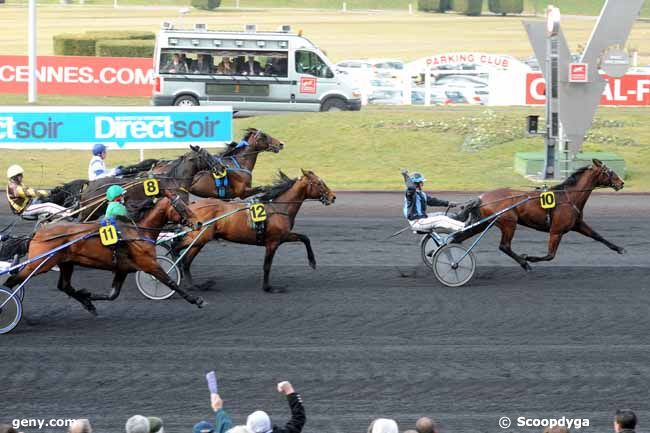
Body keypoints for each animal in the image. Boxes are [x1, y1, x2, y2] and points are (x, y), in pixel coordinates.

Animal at [3, 193, 204, 314]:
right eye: (182, 207)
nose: (199, 223)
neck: (138, 232)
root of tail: (38, 233)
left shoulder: (122, 269)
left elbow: (112, 294)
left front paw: (88, 297)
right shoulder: (149, 264)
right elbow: (170, 281)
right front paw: (196, 300)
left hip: (66, 263)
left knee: (64, 286)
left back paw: (86, 302)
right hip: (40, 264)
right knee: (13, 280)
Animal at [172, 169, 334, 290]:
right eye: (319, 183)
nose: (333, 197)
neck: (278, 208)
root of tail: (191, 207)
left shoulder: (283, 237)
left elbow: (305, 237)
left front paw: (312, 262)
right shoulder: (272, 242)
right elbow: (267, 266)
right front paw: (268, 287)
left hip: (200, 240)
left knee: (186, 261)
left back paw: (193, 284)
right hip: (200, 237)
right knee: (177, 249)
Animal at [456, 159, 624, 270]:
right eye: (609, 171)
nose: (621, 183)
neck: (569, 197)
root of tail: (481, 198)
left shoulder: (577, 224)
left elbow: (597, 235)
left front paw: (619, 248)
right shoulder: (556, 231)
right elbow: (550, 255)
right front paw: (528, 257)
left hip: (484, 223)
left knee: (460, 237)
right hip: (508, 222)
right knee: (504, 246)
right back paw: (524, 264)